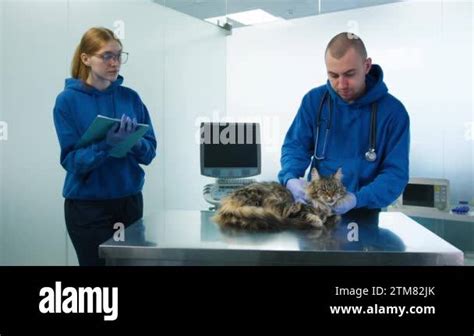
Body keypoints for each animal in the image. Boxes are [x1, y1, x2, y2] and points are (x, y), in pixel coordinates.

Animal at [214, 168, 344, 231]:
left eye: (335, 189)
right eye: (323, 189)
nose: (332, 196)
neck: (323, 207)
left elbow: (335, 216)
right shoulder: (293, 209)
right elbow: (308, 215)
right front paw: (317, 220)